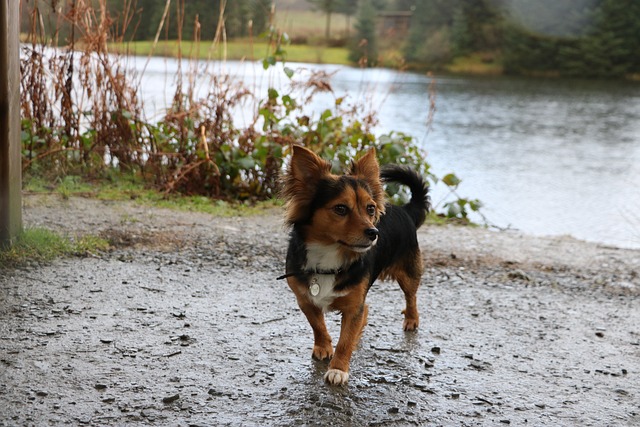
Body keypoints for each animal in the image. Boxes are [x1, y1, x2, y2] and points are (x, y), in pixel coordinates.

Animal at [278, 145, 430, 386]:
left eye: (370, 209)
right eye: (340, 208)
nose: (374, 233)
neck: (329, 256)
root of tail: (405, 210)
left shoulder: (352, 306)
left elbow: (345, 340)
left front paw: (338, 369)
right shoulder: (305, 299)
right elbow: (318, 325)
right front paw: (323, 347)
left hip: (409, 273)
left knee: (411, 296)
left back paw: (411, 319)